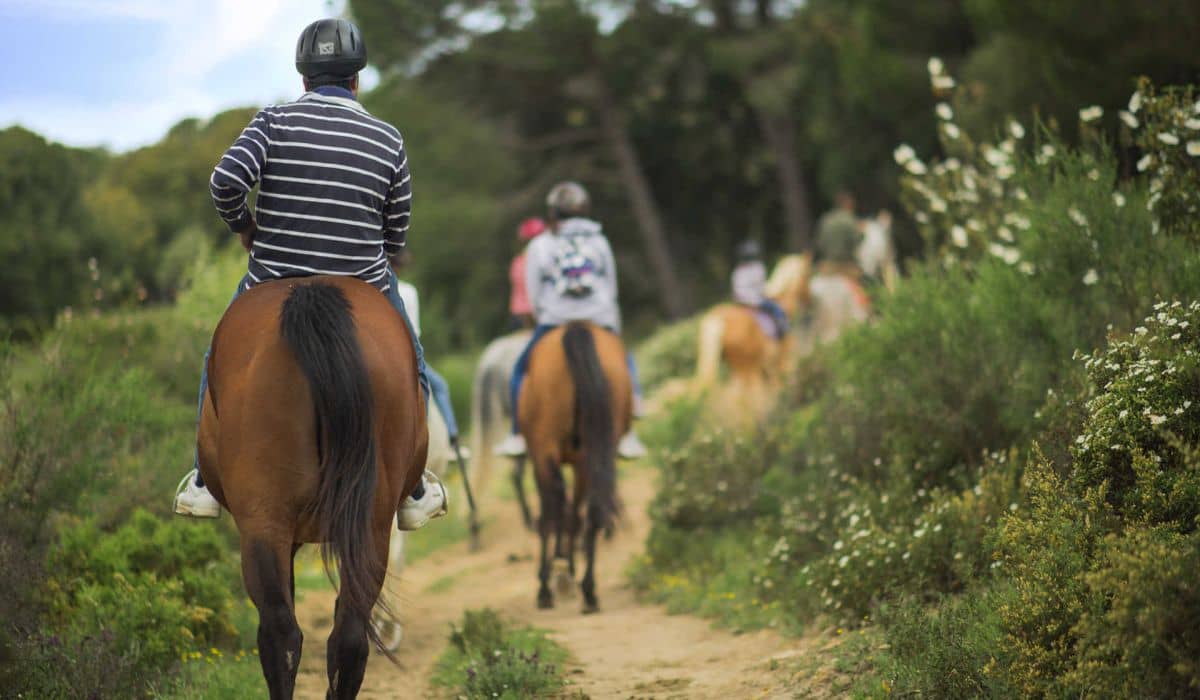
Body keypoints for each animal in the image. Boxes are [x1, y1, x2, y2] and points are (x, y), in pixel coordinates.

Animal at [696, 253, 816, 410]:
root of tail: (718, 318)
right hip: (748, 371)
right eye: (808, 275)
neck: (783, 302)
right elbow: (782, 383)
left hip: (742, 372)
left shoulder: (770, 367)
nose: (811, 301)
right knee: (747, 398)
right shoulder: (784, 356)